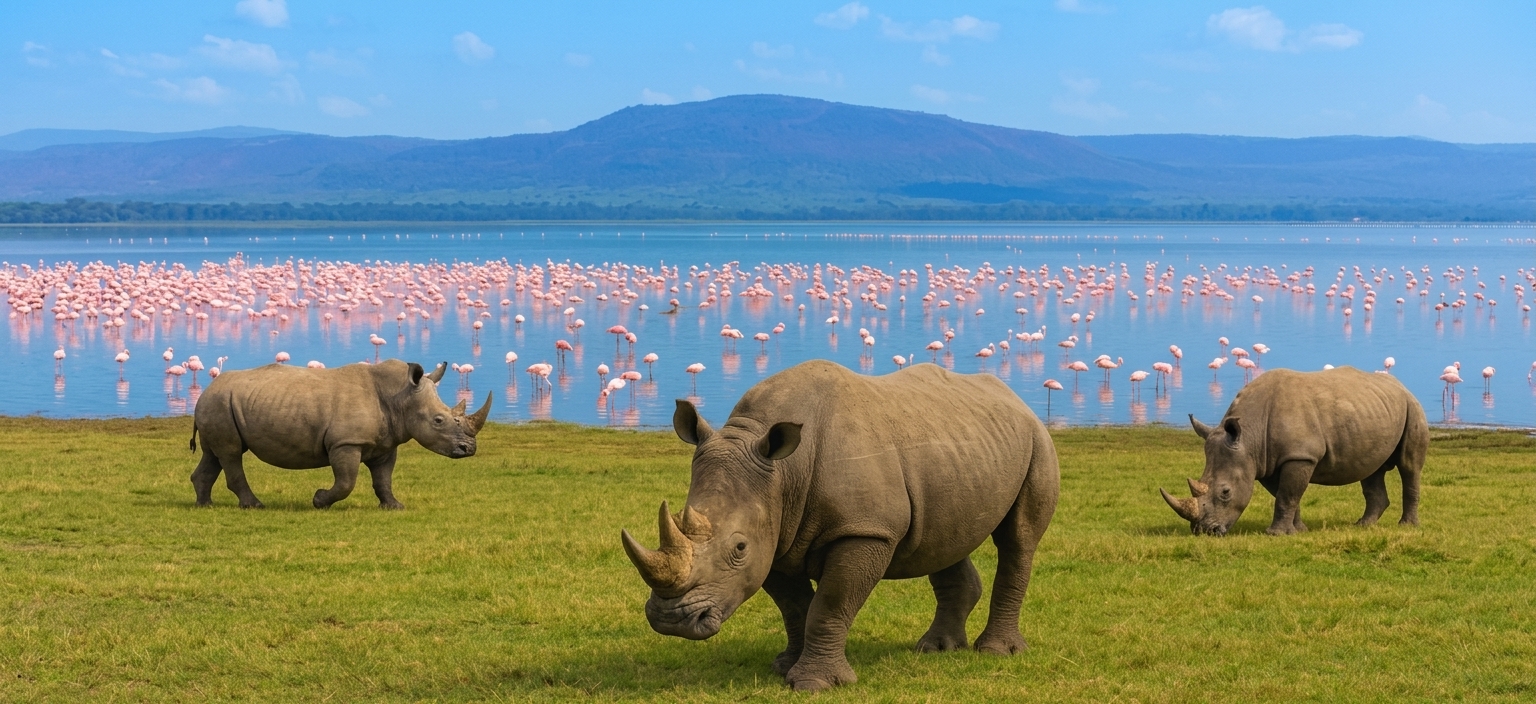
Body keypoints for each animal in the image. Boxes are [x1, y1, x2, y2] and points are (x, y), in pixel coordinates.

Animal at [188, 359, 490, 509]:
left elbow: (384, 479)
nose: (469, 449)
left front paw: (394, 506)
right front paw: (319, 501)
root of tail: (206, 391)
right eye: (438, 421)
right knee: (231, 453)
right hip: (219, 403)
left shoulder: (385, 444)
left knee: (215, 454)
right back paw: (254, 506)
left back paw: (205, 505)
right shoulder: (346, 443)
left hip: (219, 403)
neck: (401, 396)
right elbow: (347, 481)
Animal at [621, 360, 1059, 692]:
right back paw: (936, 650)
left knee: (1018, 540)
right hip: (960, 446)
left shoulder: (864, 530)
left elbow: (830, 604)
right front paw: (785, 666)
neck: (783, 474)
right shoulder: (776, 535)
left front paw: (814, 684)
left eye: (738, 548)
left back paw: (997, 652)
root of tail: (1015, 398)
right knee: (945, 538)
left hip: (1037, 440)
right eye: (679, 520)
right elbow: (795, 606)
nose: (672, 621)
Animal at [1160, 366, 1427, 536]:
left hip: (1412, 406)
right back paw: (1362, 526)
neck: (1249, 438)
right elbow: (1286, 494)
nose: (1205, 531)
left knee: (1409, 466)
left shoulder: (1300, 456)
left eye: (1225, 492)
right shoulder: (1266, 461)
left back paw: (1407, 526)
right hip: (1373, 411)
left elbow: (1287, 494)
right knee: (1371, 470)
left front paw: (1275, 534)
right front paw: (1298, 530)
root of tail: (1401, 385)